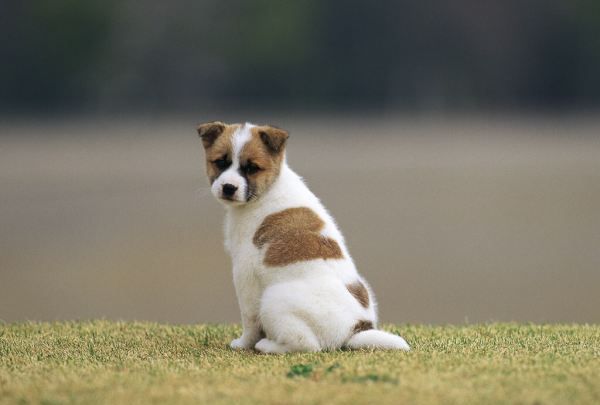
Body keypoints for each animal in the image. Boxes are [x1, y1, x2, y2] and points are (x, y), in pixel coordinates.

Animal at [199, 121, 410, 352]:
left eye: (252, 168)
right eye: (220, 162)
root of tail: (355, 329)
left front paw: (244, 343)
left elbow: (249, 320)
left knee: (306, 344)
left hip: (274, 300)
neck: (270, 189)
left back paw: (268, 345)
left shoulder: (244, 274)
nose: (229, 187)